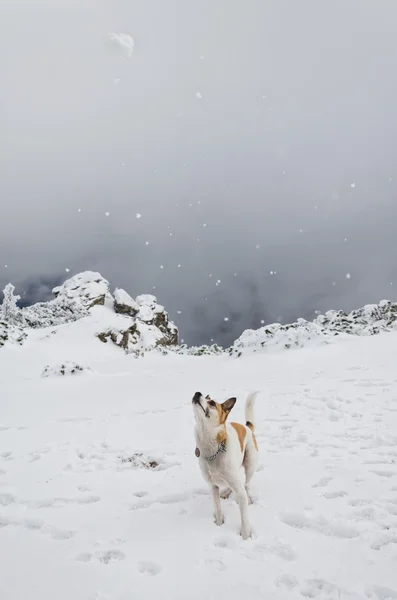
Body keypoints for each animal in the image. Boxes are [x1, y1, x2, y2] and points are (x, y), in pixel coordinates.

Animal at [191, 392, 258, 540]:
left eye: (212, 403)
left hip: (250, 464)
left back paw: (249, 497)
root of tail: (247, 427)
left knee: (246, 484)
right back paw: (227, 492)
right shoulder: (213, 487)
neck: (213, 451)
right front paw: (219, 525)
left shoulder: (239, 491)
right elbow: (218, 509)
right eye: (205, 397)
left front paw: (245, 537)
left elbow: (244, 517)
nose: (197, 393)